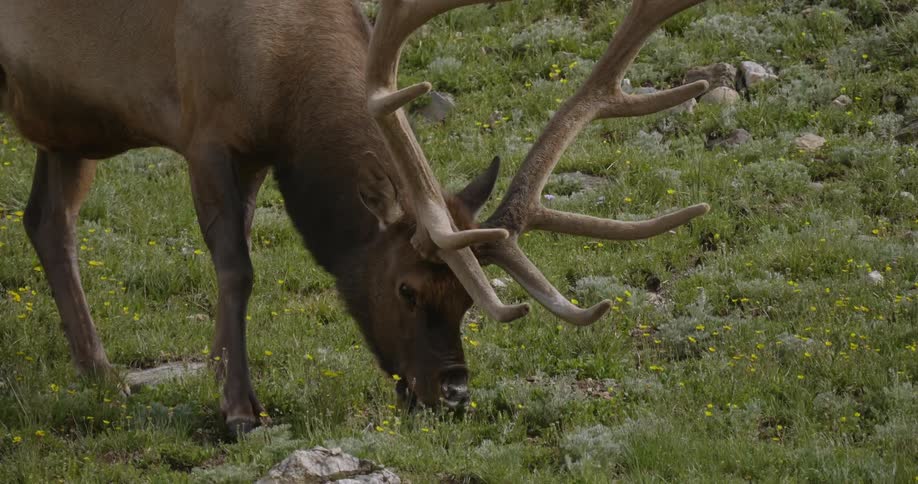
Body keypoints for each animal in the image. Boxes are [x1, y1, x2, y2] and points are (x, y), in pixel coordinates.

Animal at [0, 0, 711, 436]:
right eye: (406, 288)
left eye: (468, 299)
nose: (453, 392)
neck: (277, 70)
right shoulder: (204, 132)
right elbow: (236, 267)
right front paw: (240, 409)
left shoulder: (255, 154)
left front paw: (218, 372)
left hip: (64, 127)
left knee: (46, 220)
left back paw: (101, 373)